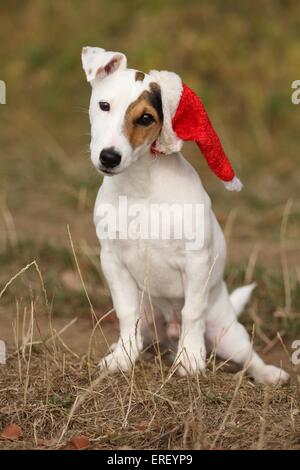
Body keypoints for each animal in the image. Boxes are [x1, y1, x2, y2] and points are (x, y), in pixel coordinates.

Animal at [81, 46, 288, 386]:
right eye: (104, 105)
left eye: (146, 118)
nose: (109, 157)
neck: (141, 188)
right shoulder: (111, 258)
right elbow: (125, 313)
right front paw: (122, 359)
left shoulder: (196, 261)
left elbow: (192, 312)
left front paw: (190, 359)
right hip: (149, 316)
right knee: (140, 331)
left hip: (227, 332)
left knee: (248, 356)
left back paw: (268, 373)